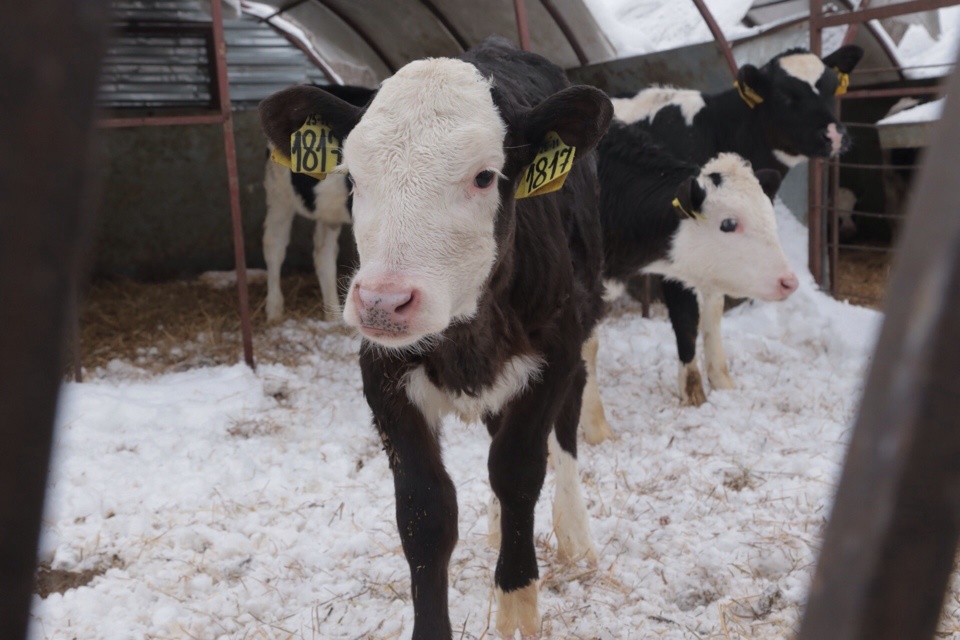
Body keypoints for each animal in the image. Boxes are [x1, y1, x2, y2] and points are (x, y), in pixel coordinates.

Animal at [262, 85, 376, 323]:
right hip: (278, 194)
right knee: (274, 245)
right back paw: (274, 310)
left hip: (329, 212)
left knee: (323, 253)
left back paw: (333, 315)